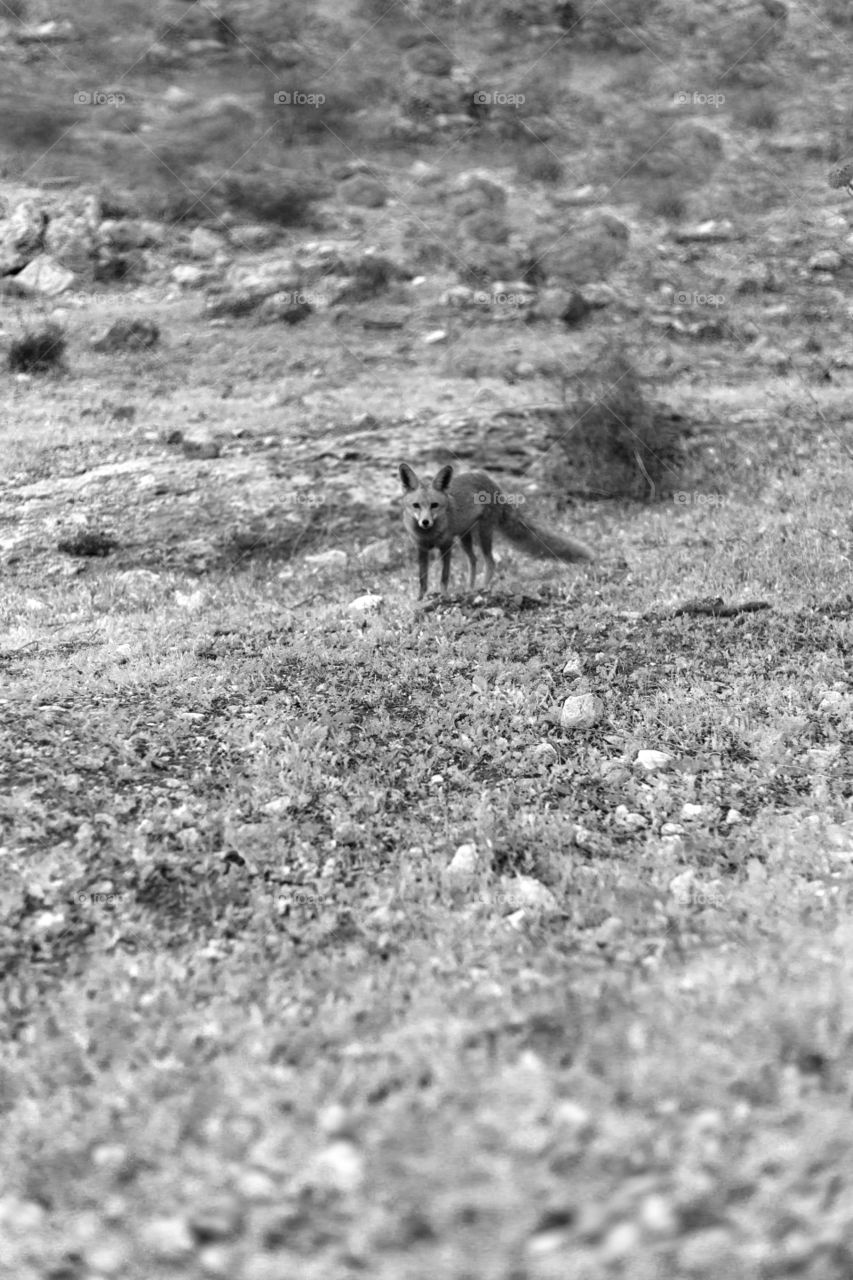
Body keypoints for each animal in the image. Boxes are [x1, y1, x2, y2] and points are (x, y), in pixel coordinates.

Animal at [399, 461, 594, 599]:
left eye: (434, 505)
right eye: (416, 505)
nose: (425, 522)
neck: (429, 535)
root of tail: (492, 483)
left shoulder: (446, 545)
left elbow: (444, 577)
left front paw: (444, 595)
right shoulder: (421, 548)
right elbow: (422, 578)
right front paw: (421, 598)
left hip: (483, 534)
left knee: (490, 562)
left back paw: (482, 589)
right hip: (464, 537)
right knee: (474, 560)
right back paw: (469, 590)